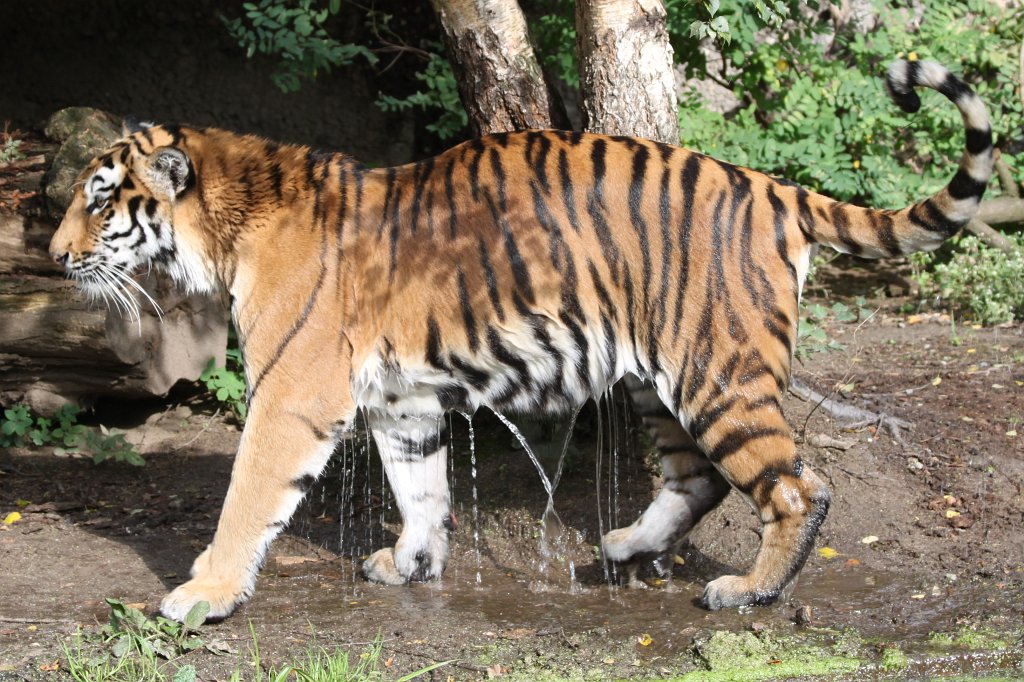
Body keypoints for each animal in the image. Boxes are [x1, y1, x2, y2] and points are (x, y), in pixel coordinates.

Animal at [49, 60, 992, 622]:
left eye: (99, 200)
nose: (55, 257)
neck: (226, 228)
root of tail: (769, 187)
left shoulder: (291, 393)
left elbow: (247, 498)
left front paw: (201, 593)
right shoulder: (403, 400)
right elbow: (421, 488)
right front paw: (412, 564)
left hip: (716, 367)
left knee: (797, 488)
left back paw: (746, 591)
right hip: (657, 376)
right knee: (697, 477)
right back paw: (625, 547)